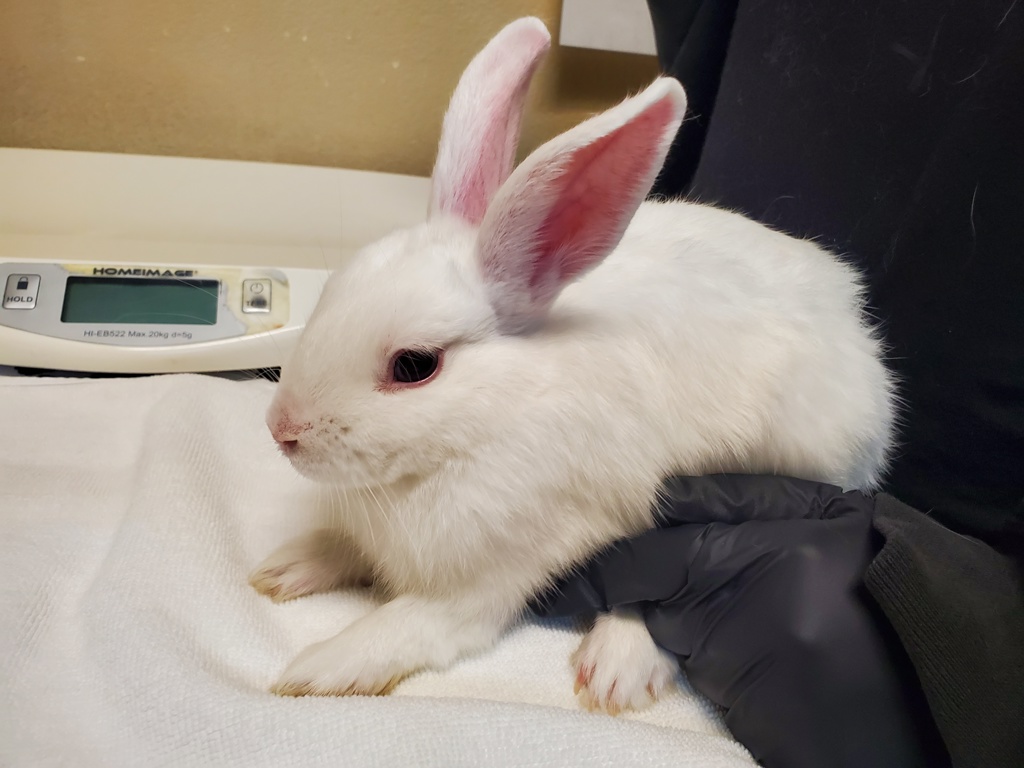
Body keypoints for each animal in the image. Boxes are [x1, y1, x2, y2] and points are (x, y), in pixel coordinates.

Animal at [250, 16, 897, 715]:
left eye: (414, 365)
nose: (282, 431)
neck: (476, 430)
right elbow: (342, 546)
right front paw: (286, 567)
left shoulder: (485, 581)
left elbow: (411, 626)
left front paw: (320, 668)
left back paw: (619, 666)